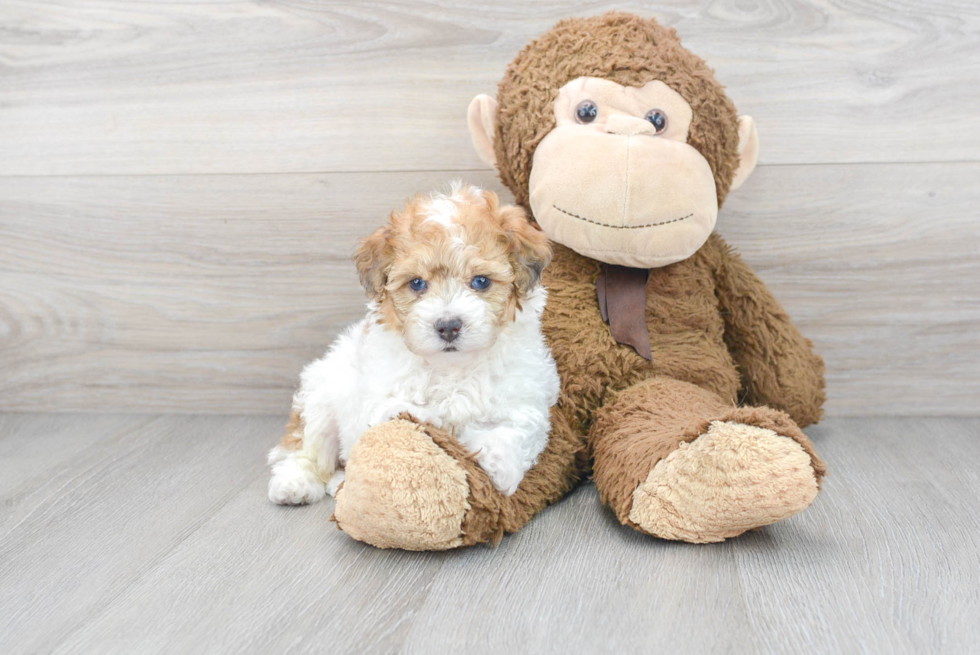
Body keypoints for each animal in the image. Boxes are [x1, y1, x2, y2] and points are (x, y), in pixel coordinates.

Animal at [268, 184, 560, 508]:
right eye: (417, 284)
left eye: (481, 281)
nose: (448, 326)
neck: (452, 368)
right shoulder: (374, 397)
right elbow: (394, 409)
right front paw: (427, 419)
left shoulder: (524, 402)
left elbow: (512, 432)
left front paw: (497, 467)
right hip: (320, 398)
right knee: (303, 448)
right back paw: (295, 484)